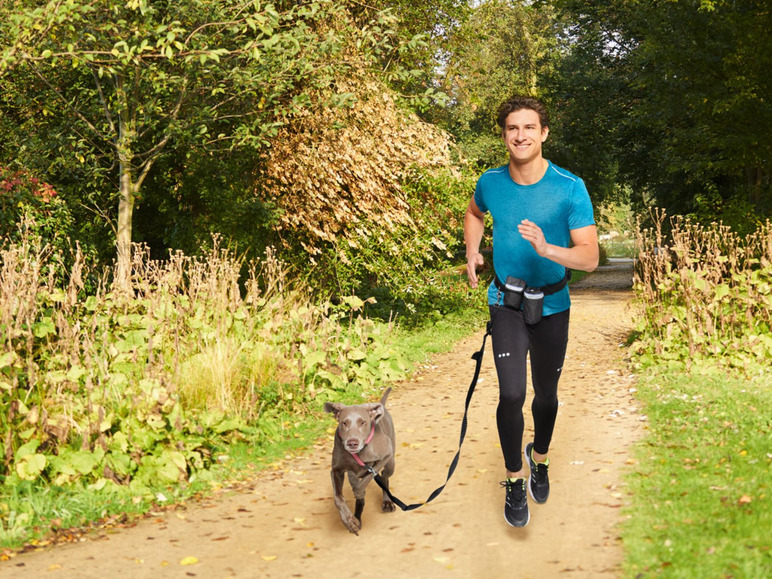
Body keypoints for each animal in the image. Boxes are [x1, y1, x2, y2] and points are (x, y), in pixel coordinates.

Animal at [324, 388, 398, 536]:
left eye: (363, 422)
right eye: (344, 423)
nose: (352, 443)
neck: (358, 454)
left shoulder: (385, 455)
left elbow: (364, 483)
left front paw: (359, 492)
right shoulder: (336, 470)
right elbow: (338, 498)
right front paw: (349, 521)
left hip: (391, 463)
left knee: (384, 477)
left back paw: (386, 501)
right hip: (352, 474)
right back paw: (357, 517)